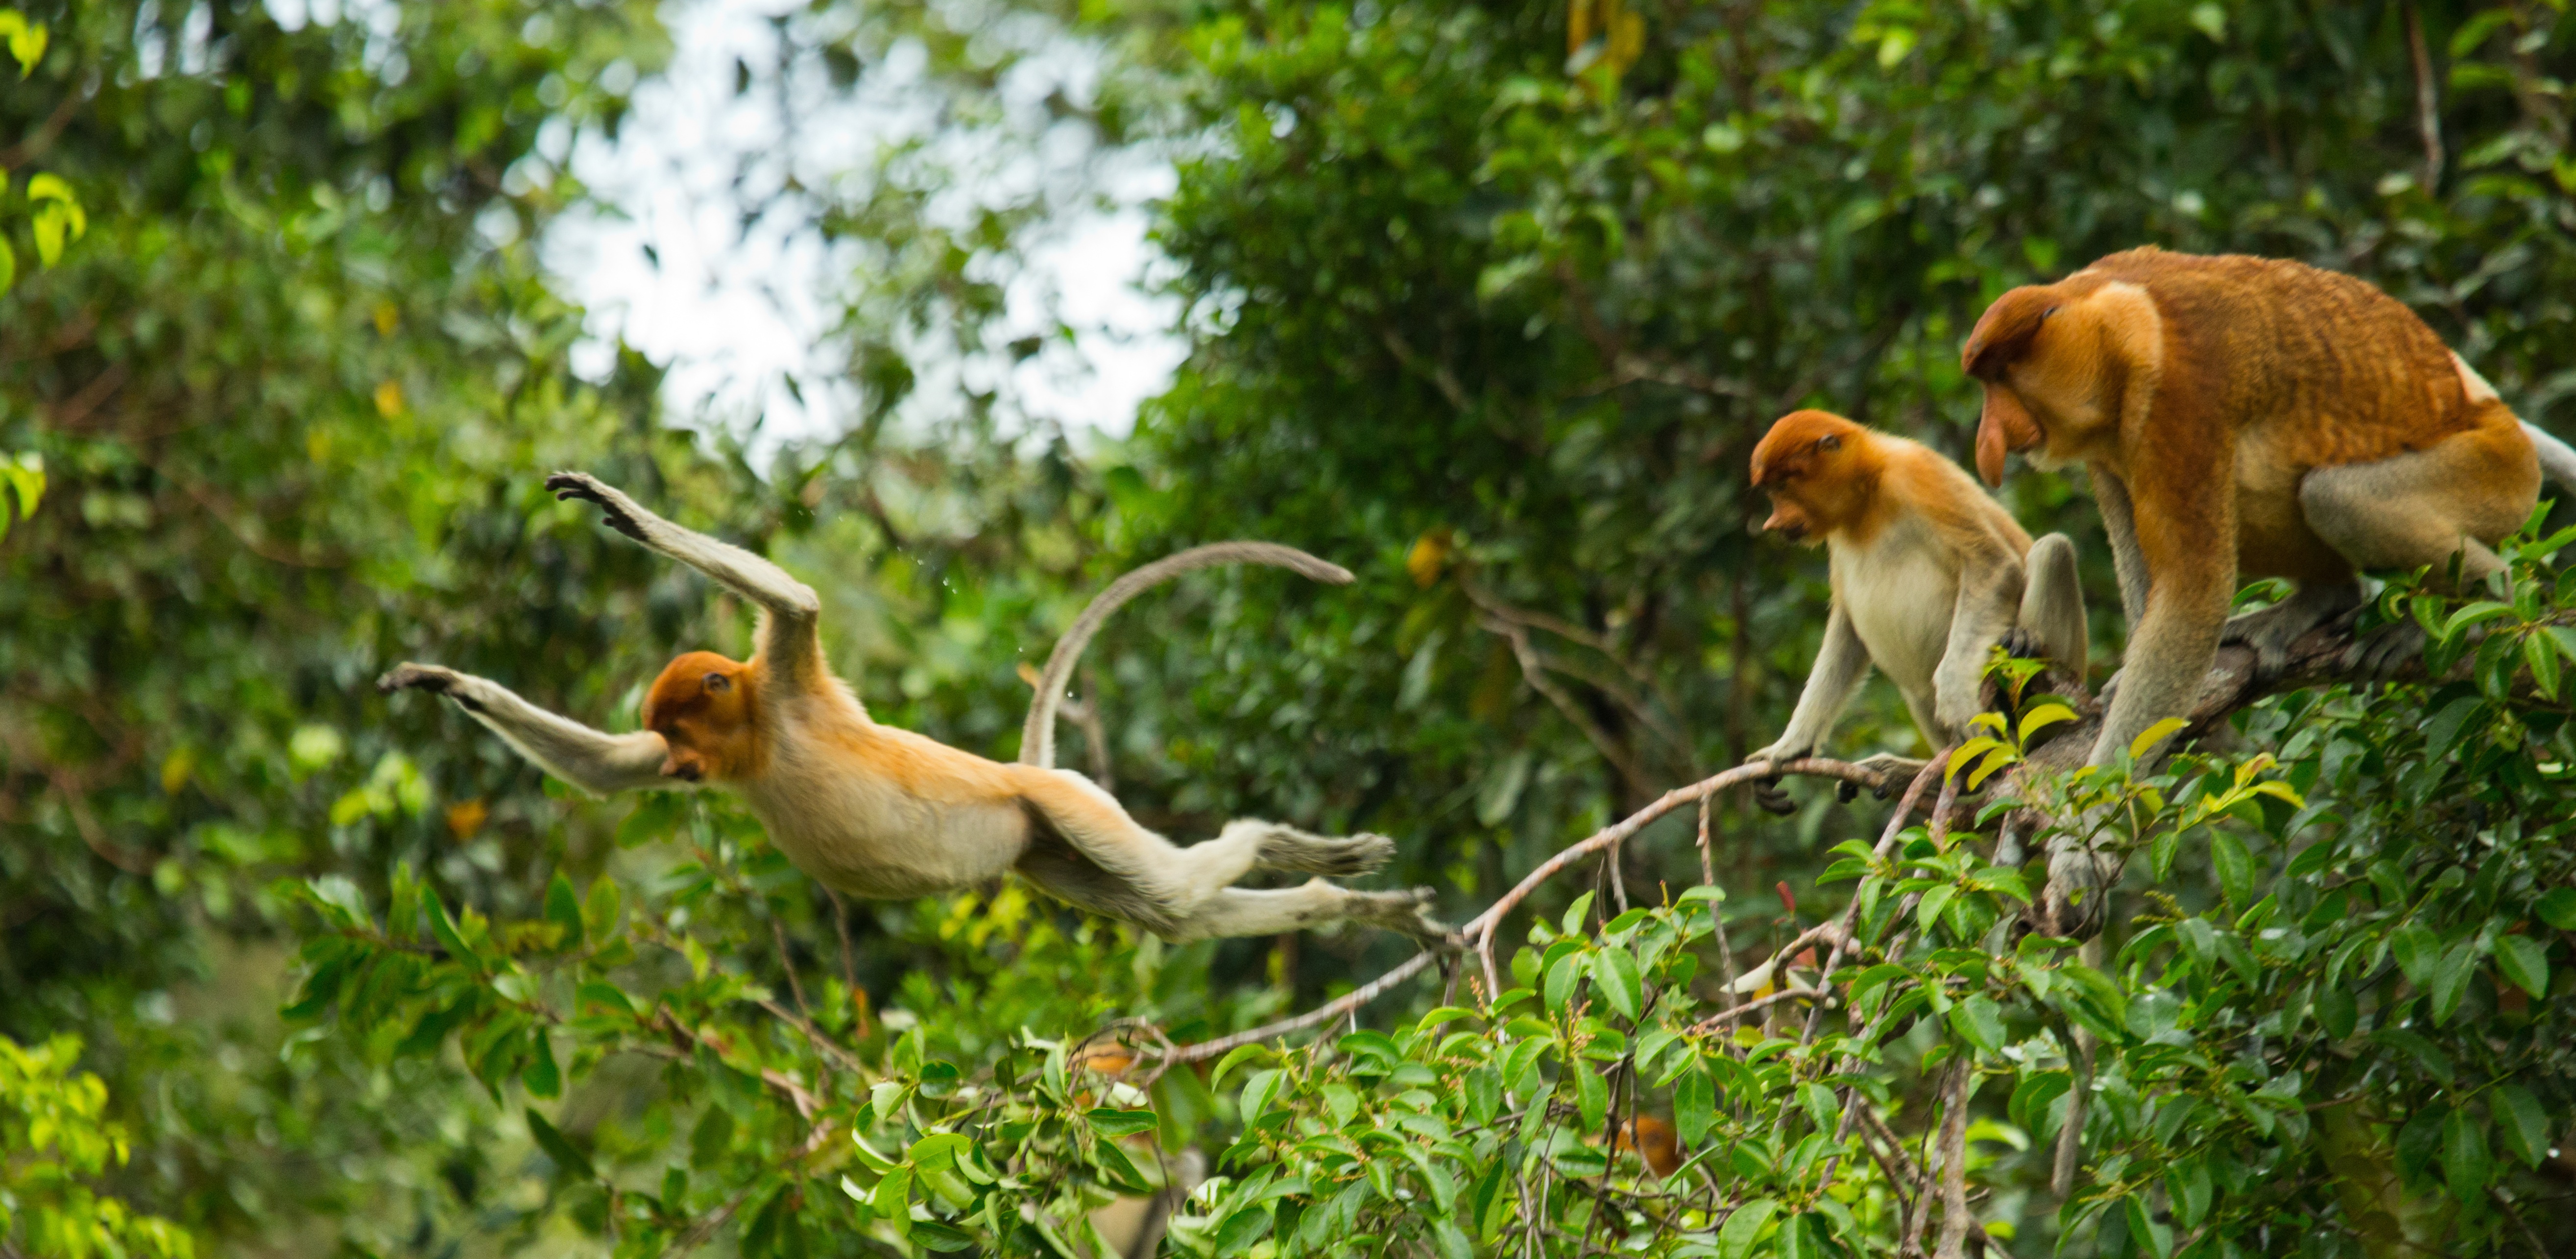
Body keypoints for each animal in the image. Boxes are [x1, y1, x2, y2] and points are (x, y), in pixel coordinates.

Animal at [378, 472, 1450, 946]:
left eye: (686, 727)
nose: (681, 769)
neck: (762, 734)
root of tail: (1023, 771)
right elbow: (607, 770)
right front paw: (442, 681)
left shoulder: (789, 680)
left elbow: (796, 602)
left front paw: (624, 510)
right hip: (1043, 848)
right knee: (1170, 913)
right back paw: (1342, 901)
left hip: (1062, 806)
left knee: (1170, 891)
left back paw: (1282, 845)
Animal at [1745, 410, 2088, 812]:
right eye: (1772, 492)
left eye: (1783, 487)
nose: (1772, 524)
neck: (1867, 495)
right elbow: (1847, 633)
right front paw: (1787, 749)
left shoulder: (1916, 474)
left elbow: (1992, 565)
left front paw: (1956, 697)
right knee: (1918, 689)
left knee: (2053, 550)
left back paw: (2025, 650)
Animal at [1962, 247, 2576, 929]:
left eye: (2001, 379)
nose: (1987, 444)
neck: (2112, 319)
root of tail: (2499, 419)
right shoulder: (2110, 441)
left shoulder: (2184, 395)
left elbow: (2194, 594)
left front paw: (2082, 845)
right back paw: (2320, 601)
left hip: (2492, 478)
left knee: (2336, 497)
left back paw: (2483, 601)